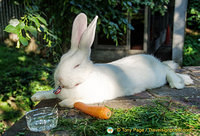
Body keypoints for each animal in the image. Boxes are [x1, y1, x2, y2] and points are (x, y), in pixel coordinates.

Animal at [31, 13, 194, 108]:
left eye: (76, 66)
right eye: (61, 59)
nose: (59, 78)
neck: (83, 80)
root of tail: (154, 60)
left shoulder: (95, 96)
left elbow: (78, 100)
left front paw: (65, 103)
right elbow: (50, 93)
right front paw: (36, 96)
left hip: (159, 75)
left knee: (169, 71)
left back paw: (180, 82)